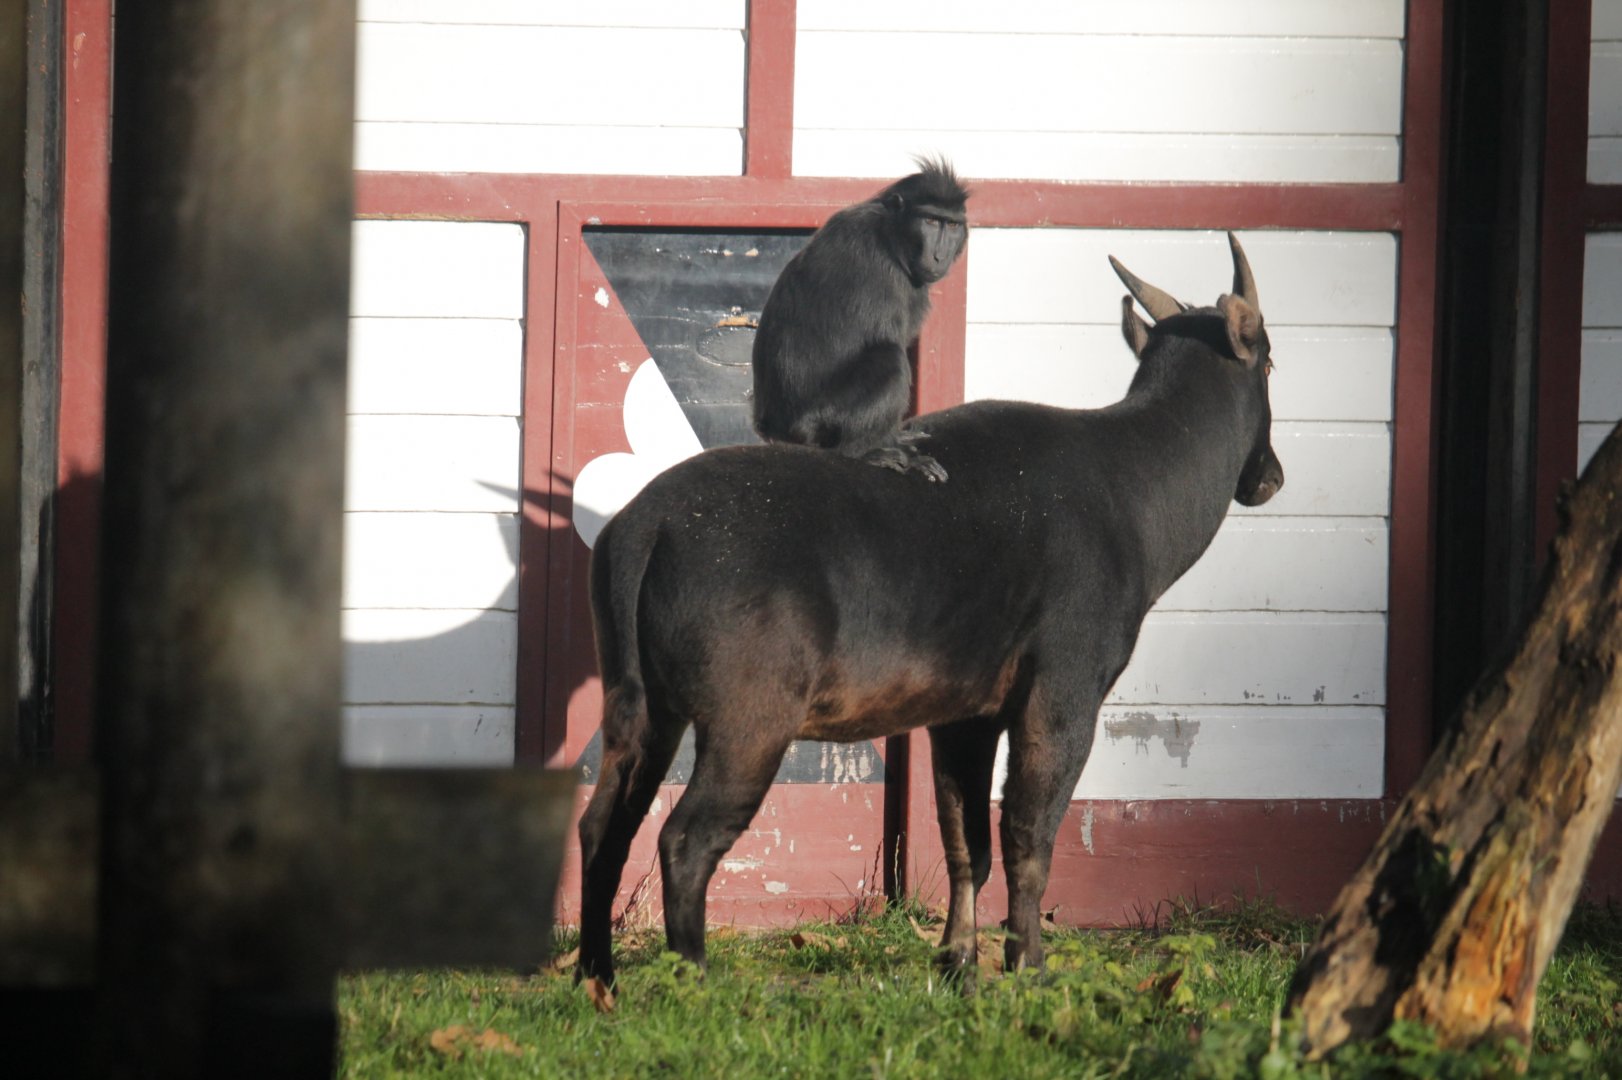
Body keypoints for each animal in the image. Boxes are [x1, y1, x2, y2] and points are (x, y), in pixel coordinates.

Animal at [750, 158, 969, 481]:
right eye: (930, 221)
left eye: (951, 224)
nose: (939, 256)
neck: (890, 233)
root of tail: (773, 428)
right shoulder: (885, 273)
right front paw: (904, 451)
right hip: (819, 422)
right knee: (891, 359)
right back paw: (862, 452)